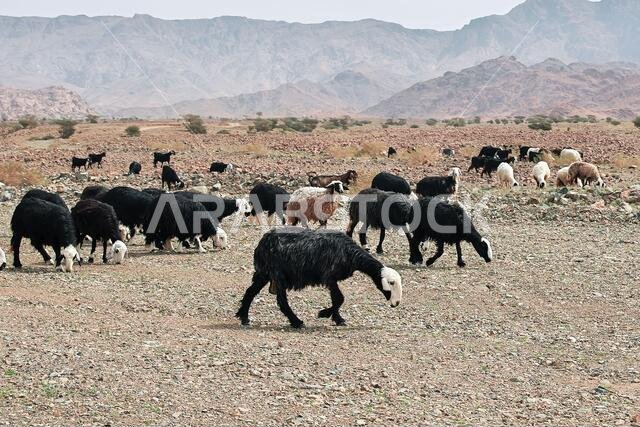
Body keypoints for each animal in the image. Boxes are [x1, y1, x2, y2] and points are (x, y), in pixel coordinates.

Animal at [235, 228, 402, 328]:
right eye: (391, 283)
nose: (396, 303)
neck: (351, 255)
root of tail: (263, 241)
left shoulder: (332, 279)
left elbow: (337, 299)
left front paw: (338, 319)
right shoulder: (329, 276)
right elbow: (339, 298)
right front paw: (324, 314)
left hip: (264, 272)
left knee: (250, 292)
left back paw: (244, 317)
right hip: (278, 274)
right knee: (282, 301)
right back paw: (296, 322)